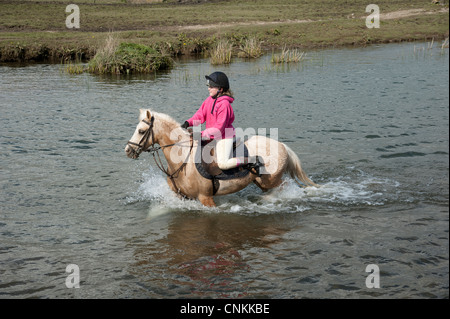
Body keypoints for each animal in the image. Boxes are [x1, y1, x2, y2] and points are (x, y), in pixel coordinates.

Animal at [125, 109, 318, 206]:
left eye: (141, 131)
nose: (128, 150)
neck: (182, 160)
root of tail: (282, 146)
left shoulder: (206, 198)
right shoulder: (183, 197)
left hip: (270, 180)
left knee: (285, 186)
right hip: (261, 182)